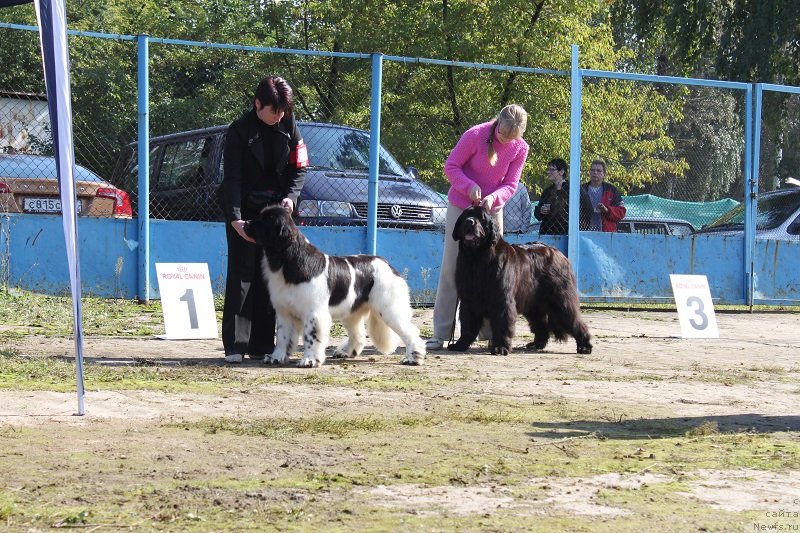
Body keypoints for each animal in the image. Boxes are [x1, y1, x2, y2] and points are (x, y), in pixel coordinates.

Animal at [244, 206, 424, 368]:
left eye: (264, 221)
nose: (245, 223)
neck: (289, 260)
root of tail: (388, 265)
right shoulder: (284, 312)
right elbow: (282, 336)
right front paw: (276, 357)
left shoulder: (313, 313)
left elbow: (311, 337)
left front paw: (309, 361)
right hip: (352, 310)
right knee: (358, 334)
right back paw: (345, 352)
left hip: (388, 308)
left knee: (410, 331)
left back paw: (413, 358)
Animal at [450, 206, 592, 356]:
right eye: (465, 216)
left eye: (482, 218)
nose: (470, 222)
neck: (476, 259)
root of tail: (560, 254)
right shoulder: (468, 300)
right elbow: (467, 324)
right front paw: (460, 345)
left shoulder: (502, 300)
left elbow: (502, 323)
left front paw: (500, 348)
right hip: (533, 303)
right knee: (541, 324)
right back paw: (537, 344)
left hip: (560, 300)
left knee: (574, 320)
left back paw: (584, 346)